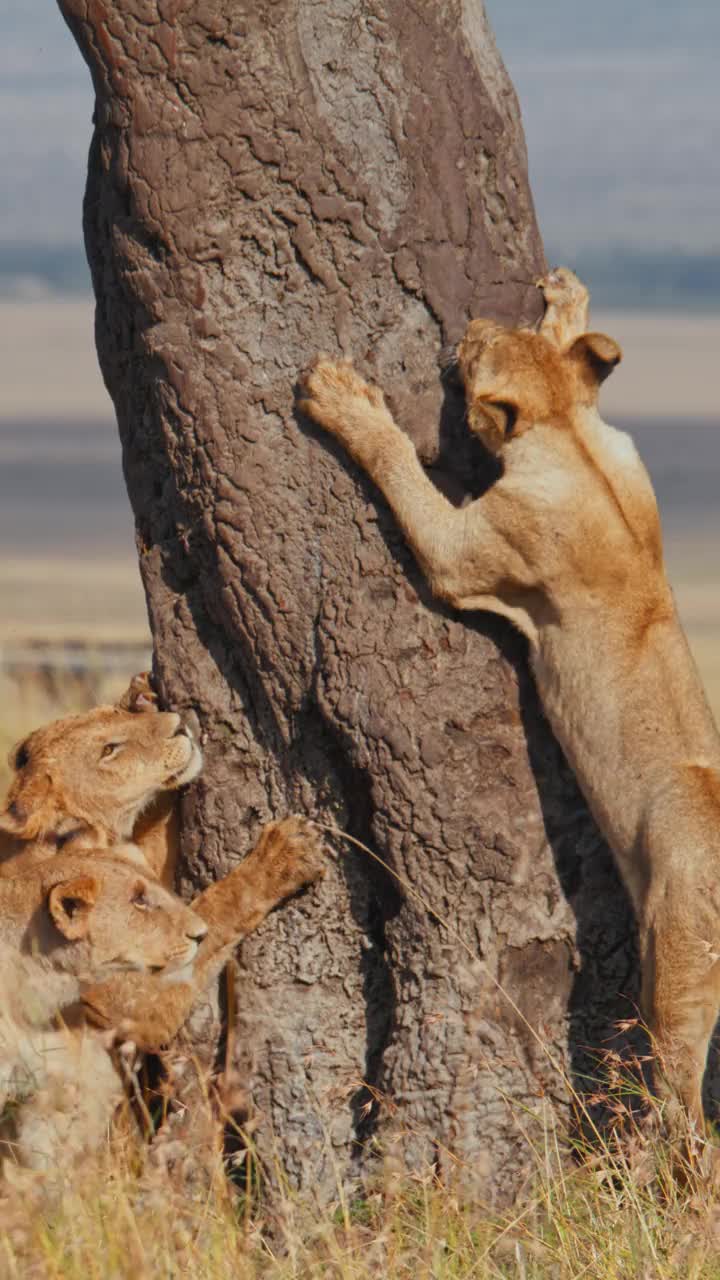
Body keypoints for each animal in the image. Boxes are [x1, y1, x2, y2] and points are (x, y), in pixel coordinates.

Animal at [298, 270, 720, 1152]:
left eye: (474, 356)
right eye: (501, 334)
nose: (470, 327)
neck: (567, 435)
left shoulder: (464, 555)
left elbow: (400, 469)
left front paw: (344, 399)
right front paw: (569, 306)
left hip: (679, 975)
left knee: (687, 1117)